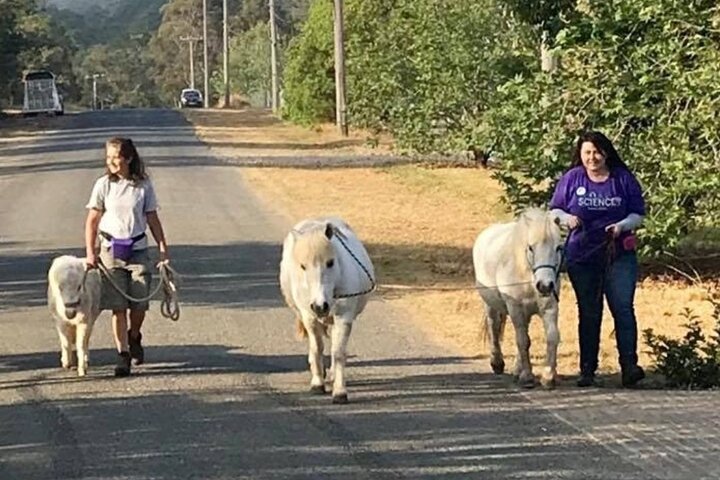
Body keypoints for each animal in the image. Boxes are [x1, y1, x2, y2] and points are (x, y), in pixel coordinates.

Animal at [278, 217, 374, 402]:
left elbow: (338, 352)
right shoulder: (309, 317)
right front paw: (317, 384)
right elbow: (317, 348)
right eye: (303, 266)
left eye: (330, 262)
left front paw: (340, 391)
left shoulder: (343, 317)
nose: (319, 306)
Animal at [472, 208, 568, 388]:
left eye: (558, 247)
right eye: (530, 248)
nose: (545, 285)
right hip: (490, 305)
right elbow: (523, 340)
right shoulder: (515, 307)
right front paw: (528, 377)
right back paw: (497, 363)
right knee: (494, 327)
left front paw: (548, 376)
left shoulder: (549, 306)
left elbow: (551, 337)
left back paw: (517, 369)